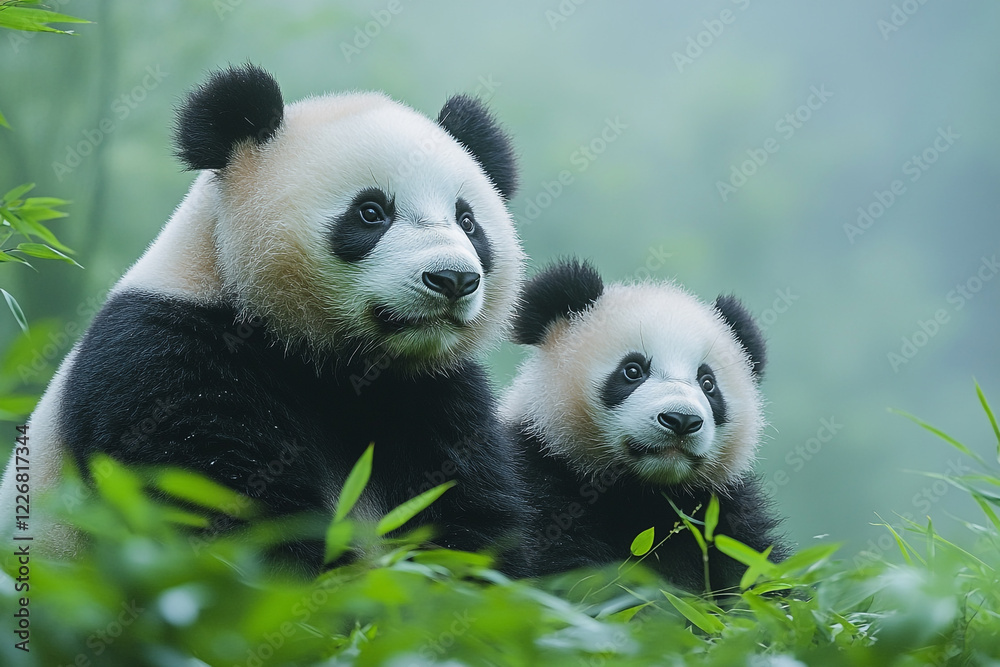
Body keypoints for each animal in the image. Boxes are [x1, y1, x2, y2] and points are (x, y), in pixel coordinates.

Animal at [0, 64, 530, 574]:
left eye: (468, 221)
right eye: (371, 212)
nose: (453, 279)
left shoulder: (436, 392)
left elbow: (470, 525)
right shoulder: (166, 357)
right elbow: (233, 515)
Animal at [503, 259, 788, 593]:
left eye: (708, 384)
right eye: (632, 370)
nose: (681, 420)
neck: (642, 492)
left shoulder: (722, 512)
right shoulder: (539, 476)